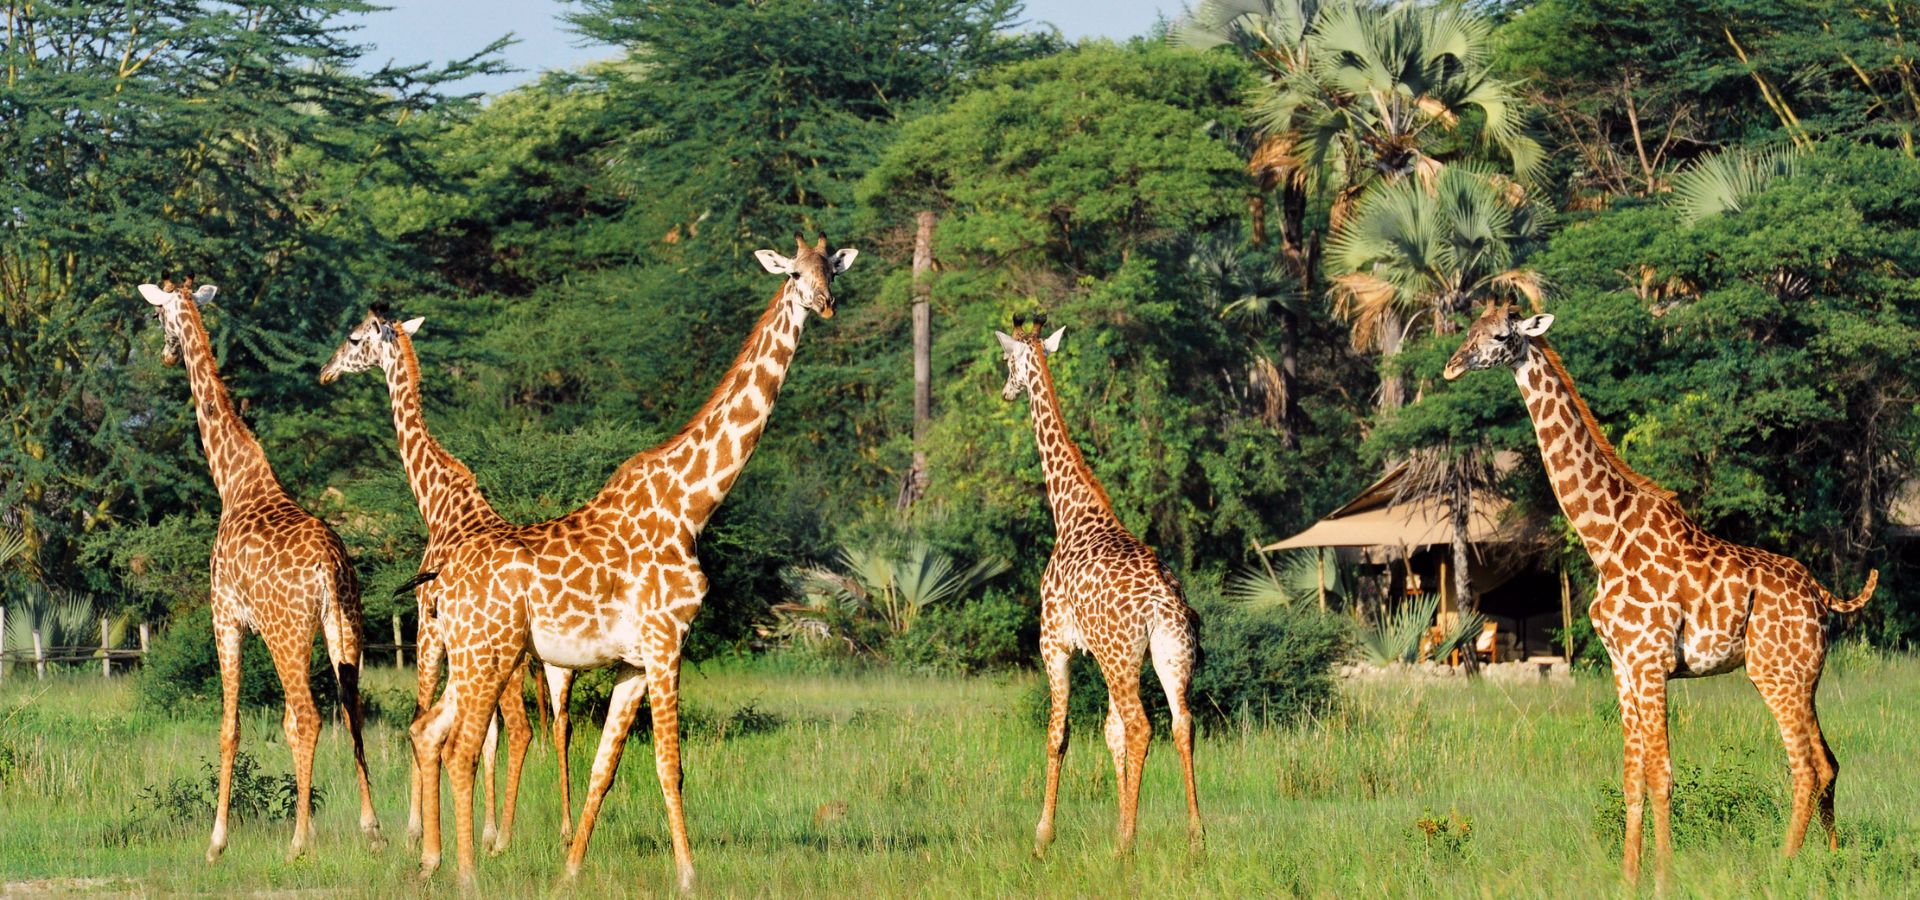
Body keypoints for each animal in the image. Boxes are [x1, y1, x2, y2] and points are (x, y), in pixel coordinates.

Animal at [137, 281, 384, 861]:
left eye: (157, 315)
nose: (165, 353)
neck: (233, 480)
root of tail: (329, 568)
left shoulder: (225, 616)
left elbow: (230, 727)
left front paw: (216, 841)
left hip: (287, 632)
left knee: (306, 717)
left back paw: (298, 842)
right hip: (346, 625)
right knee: (351, 709)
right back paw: (372, 829)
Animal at [319, 310, 579, 854]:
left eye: (354, 339)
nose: (325, 372)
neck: (438, 504)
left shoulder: (426, 627)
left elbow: (422, 714)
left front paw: (419, 829)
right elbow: (480, 735)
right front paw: (479, 826)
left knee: (522, 729)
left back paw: (504, 839)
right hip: (547, 663)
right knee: (553, 724)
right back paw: (558, 830)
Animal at [410, 234, 858, 888]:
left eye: (833, 271)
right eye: (795, 273)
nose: (824, 305)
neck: (691, 504)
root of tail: (443, 583)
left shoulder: (633, 662)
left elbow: (606, 767)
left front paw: (570, 871)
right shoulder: (668, 640)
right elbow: (672, 766)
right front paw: (690, 877)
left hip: (473, 654)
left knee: (430, 733)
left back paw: (431, 864)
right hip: (488, 651)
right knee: (462, 746)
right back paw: (466, 874)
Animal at [994, 317, 1203, 859]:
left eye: (1006, 361)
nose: (1007, 391)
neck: (1070, 510)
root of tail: (1162, 608)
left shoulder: (1055, 642)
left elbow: (1058, 732)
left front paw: (1043, 836)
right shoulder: (1101, 654)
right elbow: (1110, 735)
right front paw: (1121, 823)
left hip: (1120, 656)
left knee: (1142, 725)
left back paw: (1125, 848)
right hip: (1166, 655)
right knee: (1180, 723)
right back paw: (1194, 837)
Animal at [1442, 303, 1877, 882]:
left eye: (1496, 336)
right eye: (1467, 330)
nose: (1451, 367)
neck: (1603, 538)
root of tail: (1825, 598)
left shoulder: (1650, 661)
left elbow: (1662, 772)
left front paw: (1665, 875)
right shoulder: (1622, 664)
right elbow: (1632, 775)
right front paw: (1628, 876)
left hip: (1775, 673)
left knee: (1805, 765)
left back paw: (1784, 864)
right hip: (1804, 676)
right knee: (1829, 761)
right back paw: (1830, 860)